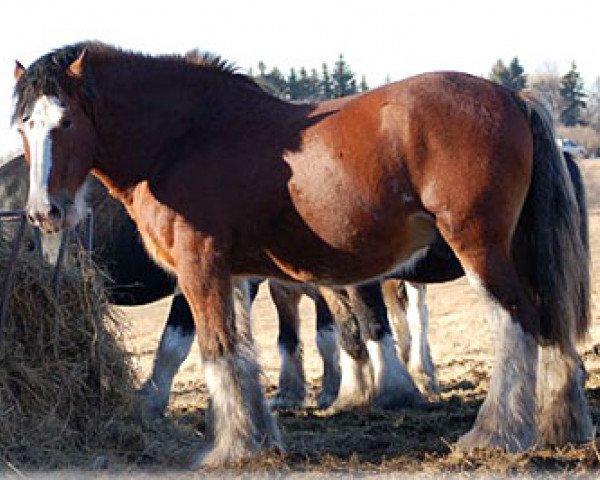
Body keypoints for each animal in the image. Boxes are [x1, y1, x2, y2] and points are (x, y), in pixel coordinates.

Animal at [12, 43, 592, 466]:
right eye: (24, 125)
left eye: (65, 122)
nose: (43, 211)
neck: (183, 139)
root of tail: (512, 98)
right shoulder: (234, 275)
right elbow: (242, 355)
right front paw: (256, 437)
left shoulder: (200, 269)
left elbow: (214, 351)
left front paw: (233, 450)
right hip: (520, 248)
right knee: (549, 323)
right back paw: (561, 425)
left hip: (479, 246)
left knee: (516, 322)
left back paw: (495, 435)